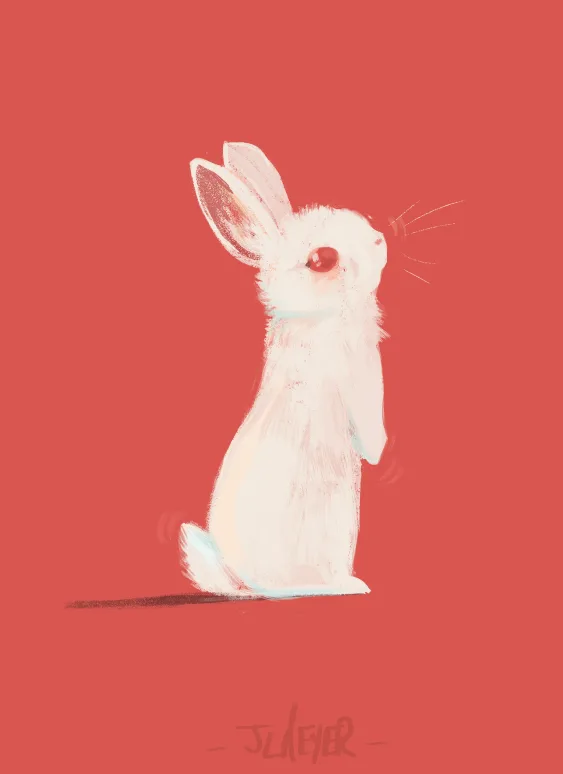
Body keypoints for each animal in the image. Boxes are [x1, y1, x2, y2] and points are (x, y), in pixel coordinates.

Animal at [180, 142, 388, 598]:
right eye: (323, 259)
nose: (380, 240)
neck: (317, 317)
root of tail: (246, 583)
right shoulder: (356, 380)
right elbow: (368, 427)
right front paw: (378, 449)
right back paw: (350, 585)